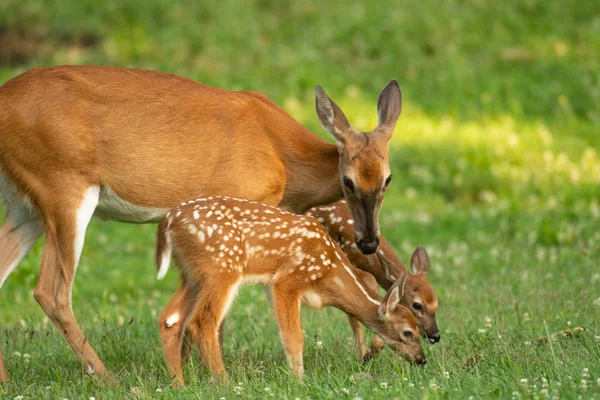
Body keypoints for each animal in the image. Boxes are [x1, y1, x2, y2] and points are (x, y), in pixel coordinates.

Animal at [157, 197, 424, 384]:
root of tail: (168, 222)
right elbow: (294, 336)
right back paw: (225, 384)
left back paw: (179, 385)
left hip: (191, 274)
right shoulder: (286, 280)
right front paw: (299, 380)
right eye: (408, 332)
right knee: (202, 321)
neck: (330, 272)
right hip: (221, 268)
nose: (422, 359)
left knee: (170, 318)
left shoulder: (271, 286)